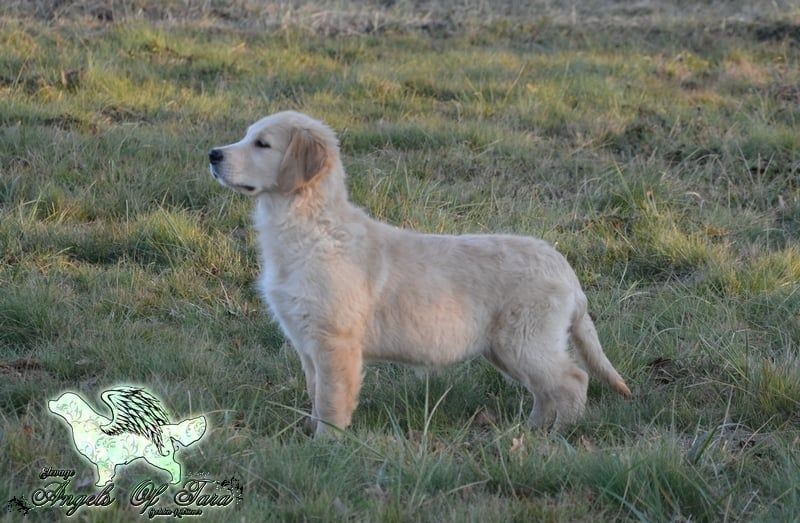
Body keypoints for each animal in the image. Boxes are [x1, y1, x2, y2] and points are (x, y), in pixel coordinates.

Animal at [208, 111, 632, 438]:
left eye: (262, 144)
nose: (213, 154)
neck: (310, 225)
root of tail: (564, 267)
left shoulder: (334, 341)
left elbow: (331, 399)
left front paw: (326, 444)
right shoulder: (307, 343)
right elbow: (316, 393)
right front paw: (310, 432)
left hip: (526, 340)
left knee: (572, 381)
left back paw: (559, 434)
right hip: (506, 348)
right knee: (547, 391)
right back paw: (532, 429)